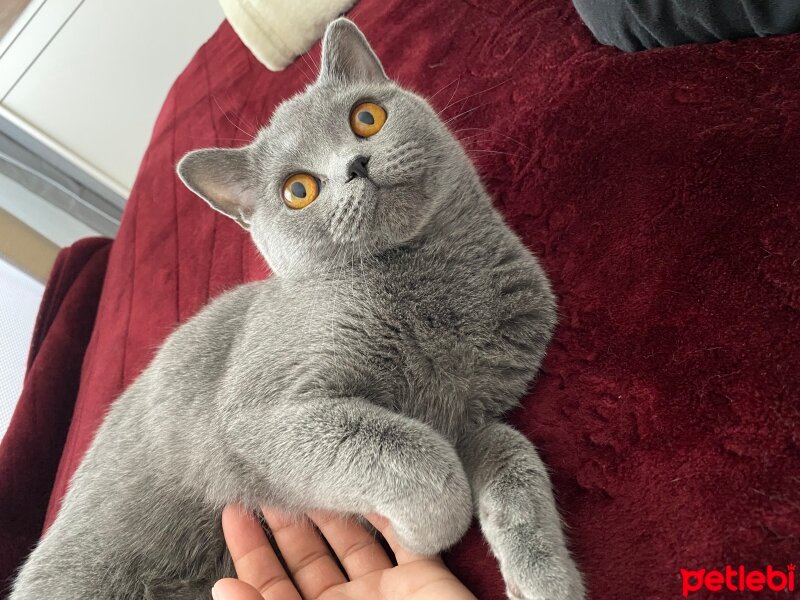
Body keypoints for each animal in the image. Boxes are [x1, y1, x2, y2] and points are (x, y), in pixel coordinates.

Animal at [9, 18, 584, 600]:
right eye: (298, 191)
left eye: (366, 117)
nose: (356, 164)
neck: (434, 279)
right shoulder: (260, 416)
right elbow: (415, 454)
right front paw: (423, 532)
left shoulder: (469, 415)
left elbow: (511, 454)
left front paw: (545, 581)